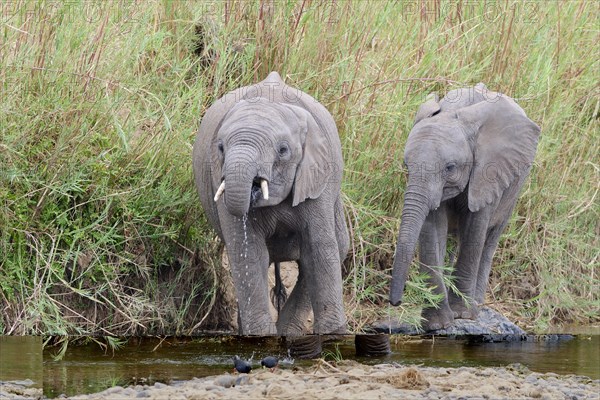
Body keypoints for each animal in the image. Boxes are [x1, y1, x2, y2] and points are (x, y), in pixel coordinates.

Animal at [192, 71, 350, 334]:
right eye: (221, 147)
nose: (253, 189)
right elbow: (248, 253)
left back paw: (288, 332)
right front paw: (261, 336)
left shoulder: (316, 178)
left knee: (337, 246)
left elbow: (319, 249)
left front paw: (333, 335)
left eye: (283, 150)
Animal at [390, 83, 540, 332]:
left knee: (490, 238)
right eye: (406, 165)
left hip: (515, 186)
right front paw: (436, 324)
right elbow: (432, 229)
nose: (396, 302)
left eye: (450, 167)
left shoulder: (489, 171)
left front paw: (463, 315)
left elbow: (474, 231)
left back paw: (477, 302)